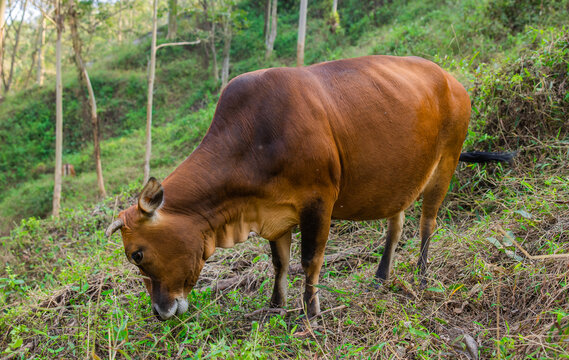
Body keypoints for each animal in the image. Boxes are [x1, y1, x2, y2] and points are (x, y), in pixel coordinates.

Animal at [106, 55, 510, 320]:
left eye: (137, 254)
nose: (160, 311)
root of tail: (451, 80)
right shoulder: (274, 212)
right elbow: (280, 262)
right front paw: (275, 306)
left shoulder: (318, 202)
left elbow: (309, 260)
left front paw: (311, 311)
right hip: (400, 180)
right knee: (395, 226)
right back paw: (381, 277)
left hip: (446, 162)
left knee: (428, 223)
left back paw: (422, 276)